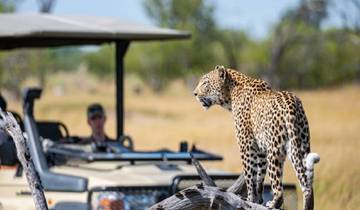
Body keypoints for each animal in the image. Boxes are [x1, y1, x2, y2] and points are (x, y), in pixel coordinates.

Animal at [194, 65, 320, 210]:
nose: (194, 94)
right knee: (306, 185)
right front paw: (257, 200)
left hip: (274, 151)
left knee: (278, 188)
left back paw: (273, 203)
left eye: (205, 83)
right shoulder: (260, 150)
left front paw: (249, 199)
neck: (231, 93)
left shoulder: (246, 145)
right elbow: (259, 177)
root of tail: (291, 104)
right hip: (301, 145)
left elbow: (250, 176)